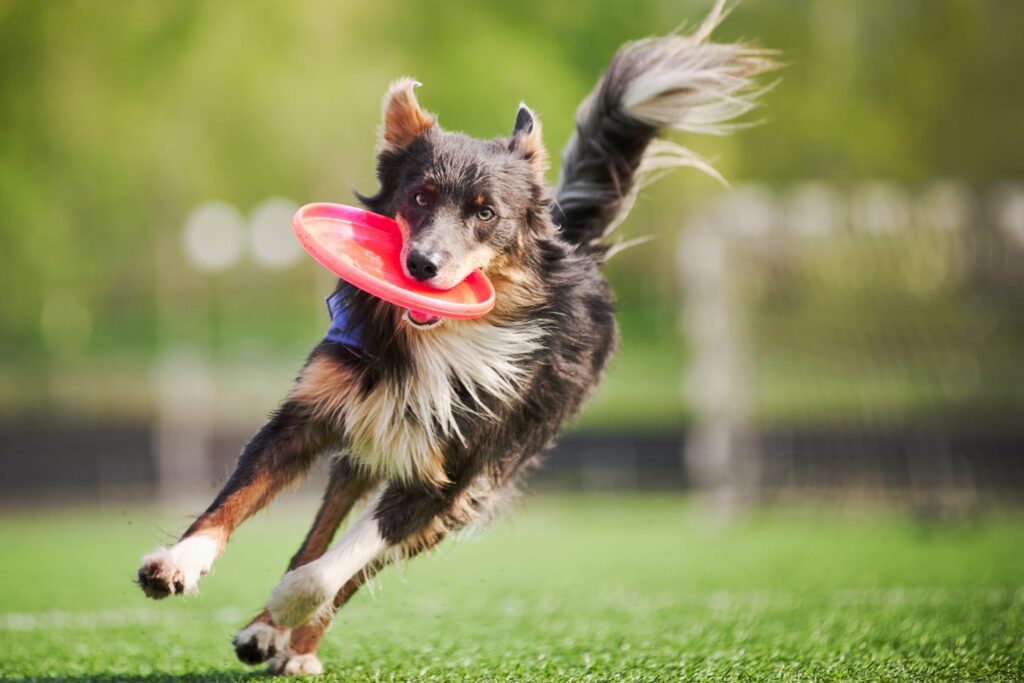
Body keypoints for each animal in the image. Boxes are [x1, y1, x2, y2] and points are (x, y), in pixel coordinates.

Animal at [138, 3, 774, 679]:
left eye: (485, 212)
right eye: (419, 196)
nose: (420, 266)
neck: (435, 342)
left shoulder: (453, 475)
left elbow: (342, 563)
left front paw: (291, 605)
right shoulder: (310, 415)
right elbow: (236, 499)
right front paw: (179, 564)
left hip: (478, 480)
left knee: (355, 565)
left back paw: (296, 639)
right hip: (364, 447)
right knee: (324, 525)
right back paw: (266, 632)